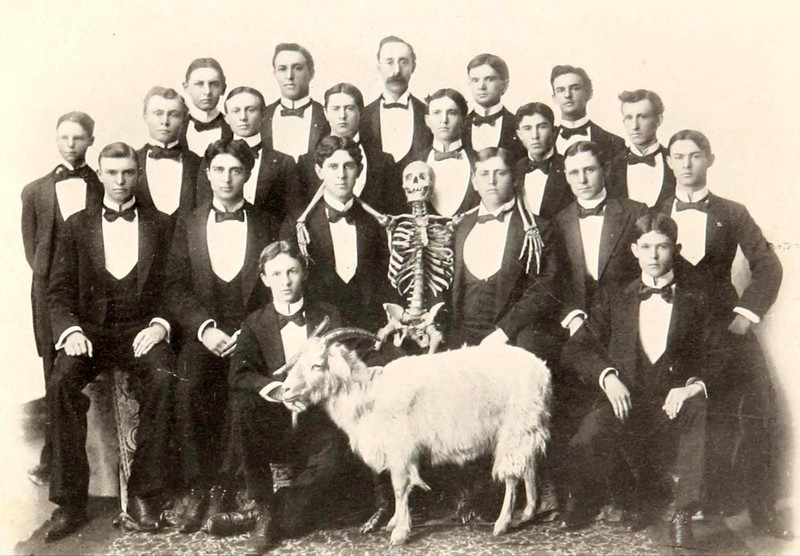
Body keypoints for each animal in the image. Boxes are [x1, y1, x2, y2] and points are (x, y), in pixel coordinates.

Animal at [279, 322, 552, 545]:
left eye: (317, 364)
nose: (285, 390)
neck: (369, 394)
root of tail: (542, 369)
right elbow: (396, 487)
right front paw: (393, 522)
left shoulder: (402, 448)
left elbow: (400, 487)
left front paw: (400, 533)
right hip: (527, 426)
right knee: (529, 466)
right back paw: (528, 512)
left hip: (515, 426)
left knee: (512, 475)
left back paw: (502, 523)